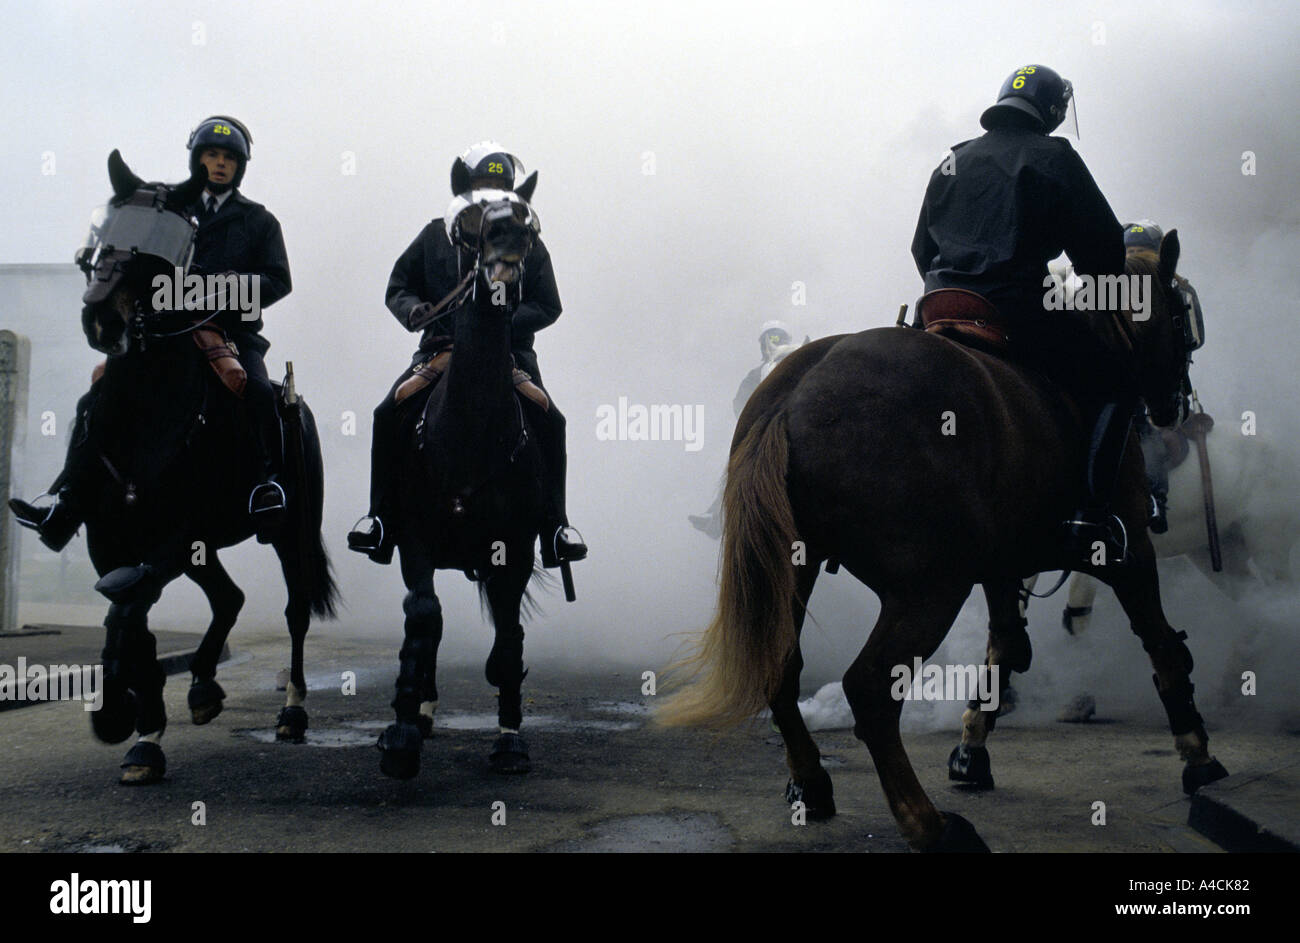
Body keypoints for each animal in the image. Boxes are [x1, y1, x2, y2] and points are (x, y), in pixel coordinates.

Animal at [73, 150, 338, 785]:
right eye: (107, 226)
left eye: (166, 242)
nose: (101, 319)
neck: (147, 410)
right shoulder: (110, 540)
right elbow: (135, 620)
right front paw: (142, 728)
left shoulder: (175, 536)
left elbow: (127, 607)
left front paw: (120, 714)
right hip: (207, 547)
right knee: (228, 598)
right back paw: (201, 685)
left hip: (287, 534)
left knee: (293, 612)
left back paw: (290, 712)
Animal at [377, 163, 559, 780]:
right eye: (471, 220)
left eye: (526, 220)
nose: (507, 250)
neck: (469, 433)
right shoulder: (414, 542)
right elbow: (423, 619)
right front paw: (402, 733)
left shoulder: (515, 551)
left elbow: (507, 641)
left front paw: (509, 740)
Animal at [660, 231, 1227, 848]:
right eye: (1185, 313)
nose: (1175, 406)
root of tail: (796, 392)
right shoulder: (1128, 554)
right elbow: (1162, 645)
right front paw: (1197, 756)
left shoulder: (1003, 565)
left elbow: (1007, 647)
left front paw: (972, 750)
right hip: (930, 588)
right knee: (870, 690)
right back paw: (929, 825)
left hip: (798, 568)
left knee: (783, 666)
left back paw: (812, 782)